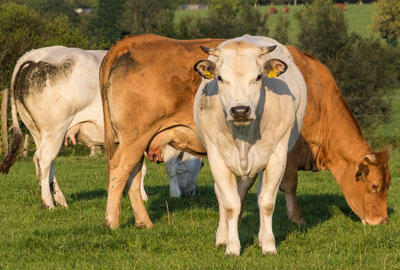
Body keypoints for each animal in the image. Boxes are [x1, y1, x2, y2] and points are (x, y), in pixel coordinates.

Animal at [101, 33, 390, 228]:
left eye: (388, 185)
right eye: (375, 186)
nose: (383, 221)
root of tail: (133, 41)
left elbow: (249, 184)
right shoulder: (289, 149)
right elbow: (289, 184)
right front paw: (297, 219)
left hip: (139, 139)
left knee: (133, 175)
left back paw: (144, 222)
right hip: (135, 136)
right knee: (119, 169)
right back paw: (112, 222)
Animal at [194, 35, 306, 255]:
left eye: (258, 77)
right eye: (220, 78)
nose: (240, 110)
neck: (243, 134)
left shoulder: (277, 157)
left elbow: (267, 203)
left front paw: (269, 246)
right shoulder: (216, 158)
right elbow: (230, 205)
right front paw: (231, 247)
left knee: (260, 194)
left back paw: (261, 238)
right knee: (222, 194)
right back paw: (222, 236)